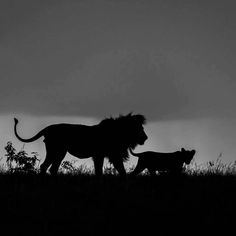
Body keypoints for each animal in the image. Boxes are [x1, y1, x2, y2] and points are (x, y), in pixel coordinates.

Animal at [13, 113, 148, 176]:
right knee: (47, 167)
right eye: (139, 128)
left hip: (58, 152)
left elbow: (111, 170)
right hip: (57, 151)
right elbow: (116, 170)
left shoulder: (103, 156)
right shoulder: (106, 155)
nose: (146, 138)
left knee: (49, 167)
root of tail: (48, 128)